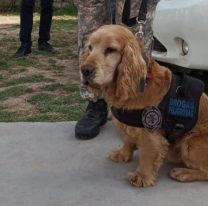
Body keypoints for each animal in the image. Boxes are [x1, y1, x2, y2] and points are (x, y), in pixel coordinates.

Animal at [79, 24, 208, 187]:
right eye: (90, 47)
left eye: (110, 49)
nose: (84, 70)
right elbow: (127, 140)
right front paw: (123, 155)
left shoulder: (150, 131)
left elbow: (147, 154)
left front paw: (142, 176)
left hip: (190, 142)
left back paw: (183, 173)